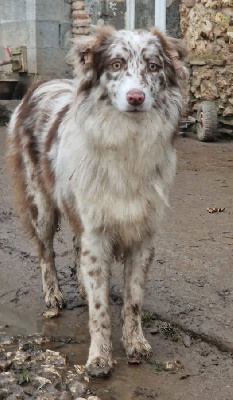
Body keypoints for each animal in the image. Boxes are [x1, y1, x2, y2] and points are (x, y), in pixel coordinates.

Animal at [6, 25, 187, 378]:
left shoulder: (143, 235)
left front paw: (135, 343)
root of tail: (40, 83)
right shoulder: (97, 232)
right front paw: (100, 358)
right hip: (42, 206)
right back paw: (54, 295)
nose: (136, 98)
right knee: (46, 252)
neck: (128, 141)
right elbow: (101, 309)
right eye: (116, 64)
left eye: (154, 66)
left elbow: (133, 299)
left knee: (77, 248)